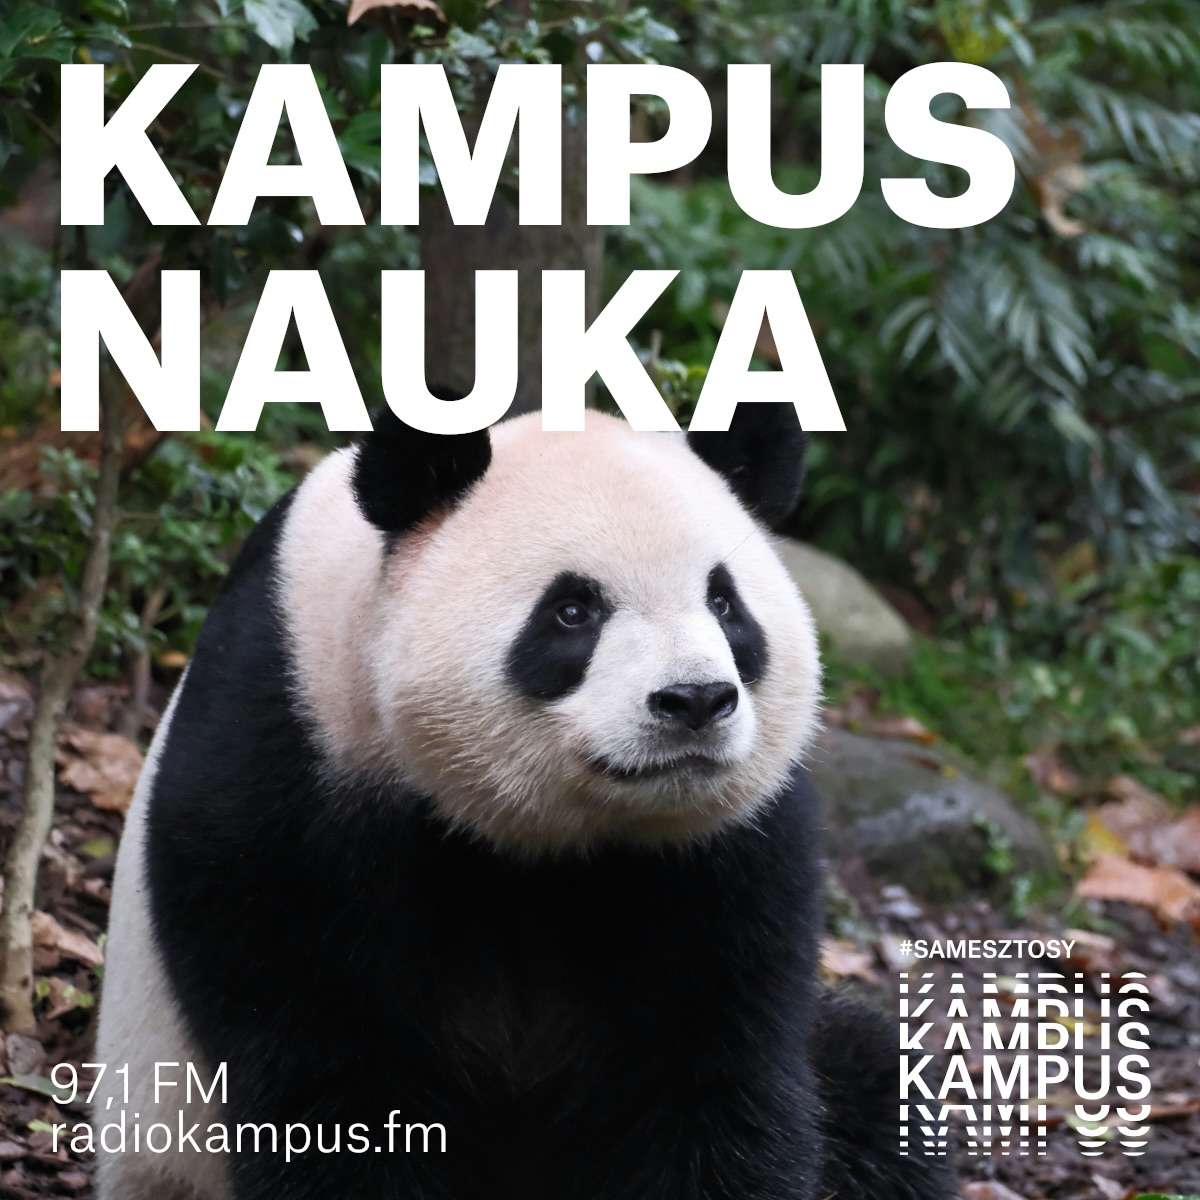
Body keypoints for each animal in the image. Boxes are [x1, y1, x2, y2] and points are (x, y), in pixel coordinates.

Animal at [95, 406, 955, 1200]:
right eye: (573, 610)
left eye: (725, 604)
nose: (695, 700)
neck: (543, 839)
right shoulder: (289, 766)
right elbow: (333, 1077)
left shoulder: (728, 846)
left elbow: (716, 1070)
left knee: (878, 1087)